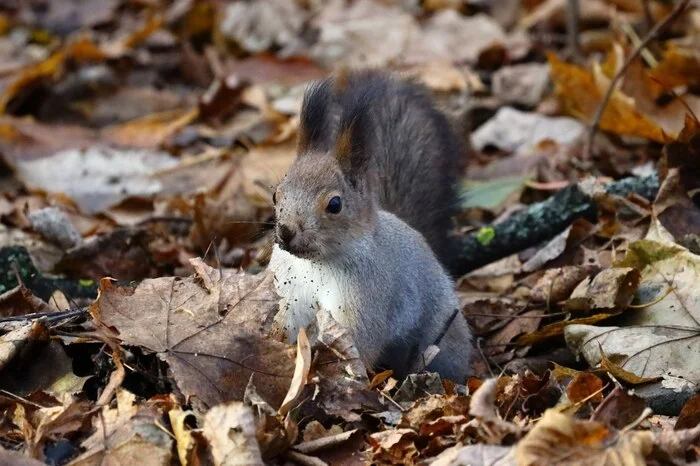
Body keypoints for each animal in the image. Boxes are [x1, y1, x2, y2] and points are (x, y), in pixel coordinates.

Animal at [268, 70, 473, 382]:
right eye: (276, 194)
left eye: (335, 205)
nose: (286, 232)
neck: (315, 266)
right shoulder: (289, 294)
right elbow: (285, 325)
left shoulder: (366, 300)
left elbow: (359, 345)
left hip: (443, 336)